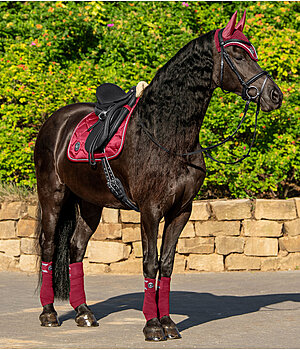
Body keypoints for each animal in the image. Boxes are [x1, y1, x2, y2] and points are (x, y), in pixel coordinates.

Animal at [34, 11, 282, 342]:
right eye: (238, 54)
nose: (275, 95)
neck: (166, 134)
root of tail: (55, 121)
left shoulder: (181, 211)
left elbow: (166, 264)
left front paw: (168, 322)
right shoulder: (150, 211)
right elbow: (150, 263)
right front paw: (152, 325)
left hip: (90, 204)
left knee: (76, 248)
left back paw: (83, 312)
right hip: (53, 195)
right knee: (48, 247)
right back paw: (49, 313)